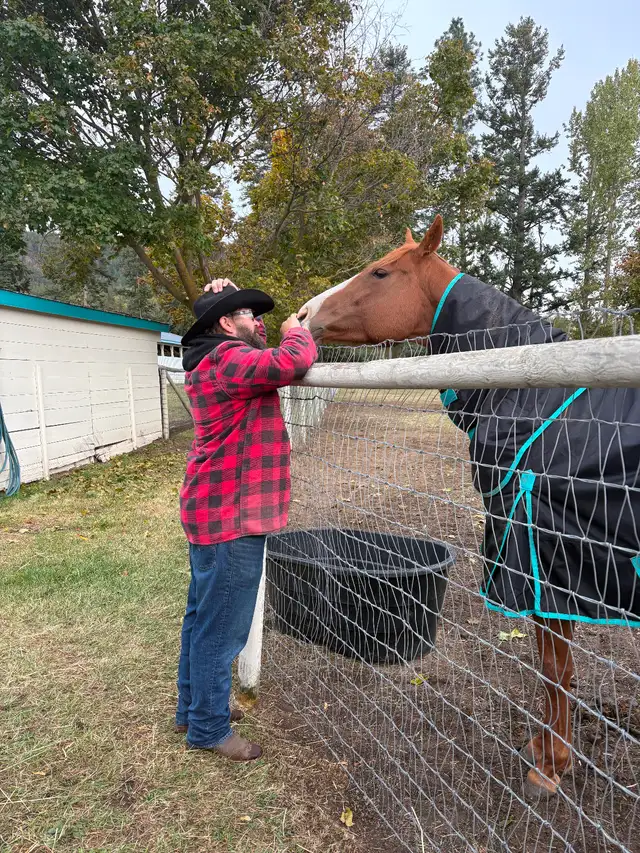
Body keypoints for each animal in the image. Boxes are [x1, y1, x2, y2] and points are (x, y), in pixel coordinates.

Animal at [297, 215, 640, 798]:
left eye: (380, 271)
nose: (300, 316)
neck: (533, 393)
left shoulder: (544, 562)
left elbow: (555, 667)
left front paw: (550, 767)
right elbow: (554, 666)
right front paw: (549, 752)